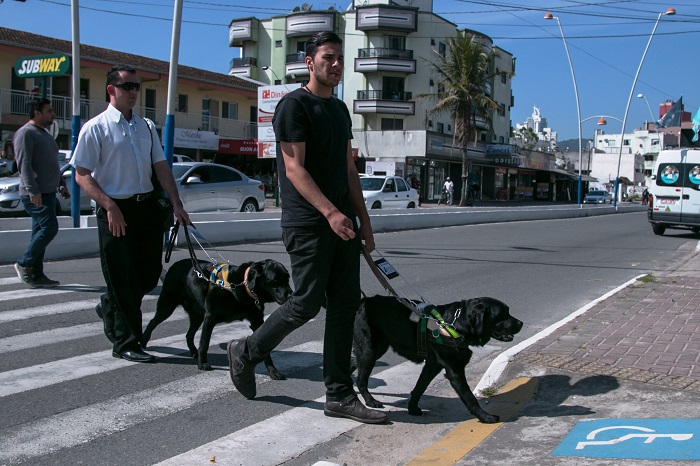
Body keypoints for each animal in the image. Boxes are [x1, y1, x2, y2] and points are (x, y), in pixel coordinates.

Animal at [144, 256, 292, 374]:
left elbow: (264, 342)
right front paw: (203, 363)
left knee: (189, 334)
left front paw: (272, 370)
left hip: (197, 315)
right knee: (152, 322)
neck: (241, 285)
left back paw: (193, 351)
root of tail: (173, 266)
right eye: (276, 280)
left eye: (287, 278)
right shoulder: (210, 318)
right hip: (167, 306)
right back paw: (143, 342)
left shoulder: (256, 320)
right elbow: (204, 343)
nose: (291, 295)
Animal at [352, 296, 524, 424]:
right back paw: (370, 400)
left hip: (377, 348)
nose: (521, 323)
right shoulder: (455, 371)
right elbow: (470, 397)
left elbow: (419, 388)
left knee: (353, 363)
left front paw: (412, 408)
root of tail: (364, 301)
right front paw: (485, 416)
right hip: (369, 350)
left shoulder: (432, 366)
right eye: (502, 315)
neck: (456, 324)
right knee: (361, 378)